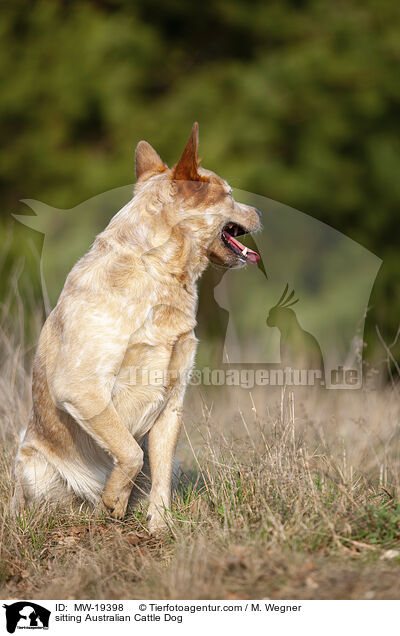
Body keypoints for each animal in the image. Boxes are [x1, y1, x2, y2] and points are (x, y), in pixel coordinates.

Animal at [12, 123, 260, 532]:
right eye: (229, 195)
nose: (259, 210)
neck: (159, 273)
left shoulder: (172, 400)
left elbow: (157, 471)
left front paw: (160, 526)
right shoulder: (82, 388)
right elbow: (129, 452)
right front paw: (115, 499)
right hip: (33, 465)